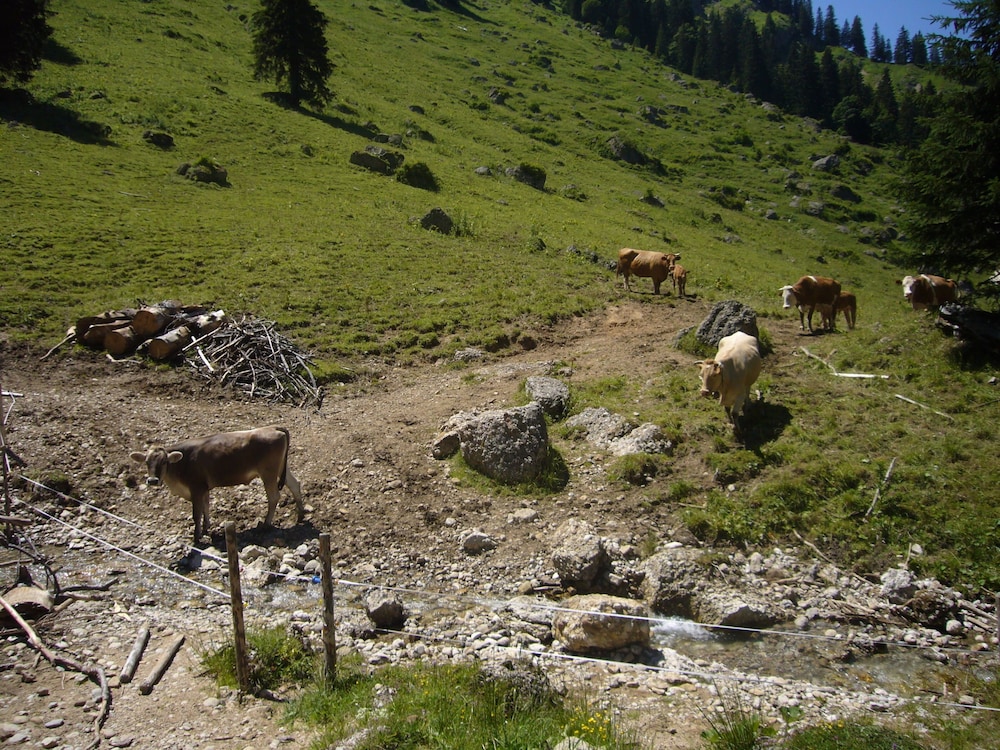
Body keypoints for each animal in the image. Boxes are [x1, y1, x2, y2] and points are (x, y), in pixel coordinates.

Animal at [130, 426, 304, 543]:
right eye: (147, 462)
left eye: (164, 462)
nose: (152, 480)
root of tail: (273, 427)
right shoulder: (204, 488)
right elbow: (206, 507)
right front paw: (206, 527)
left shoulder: (196, 488)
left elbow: (196, 514)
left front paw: (197, 537)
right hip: (280, 469)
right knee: (295, 485)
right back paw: (300, 515)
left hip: (268, 473)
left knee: (274, 497)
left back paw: (266, 525)